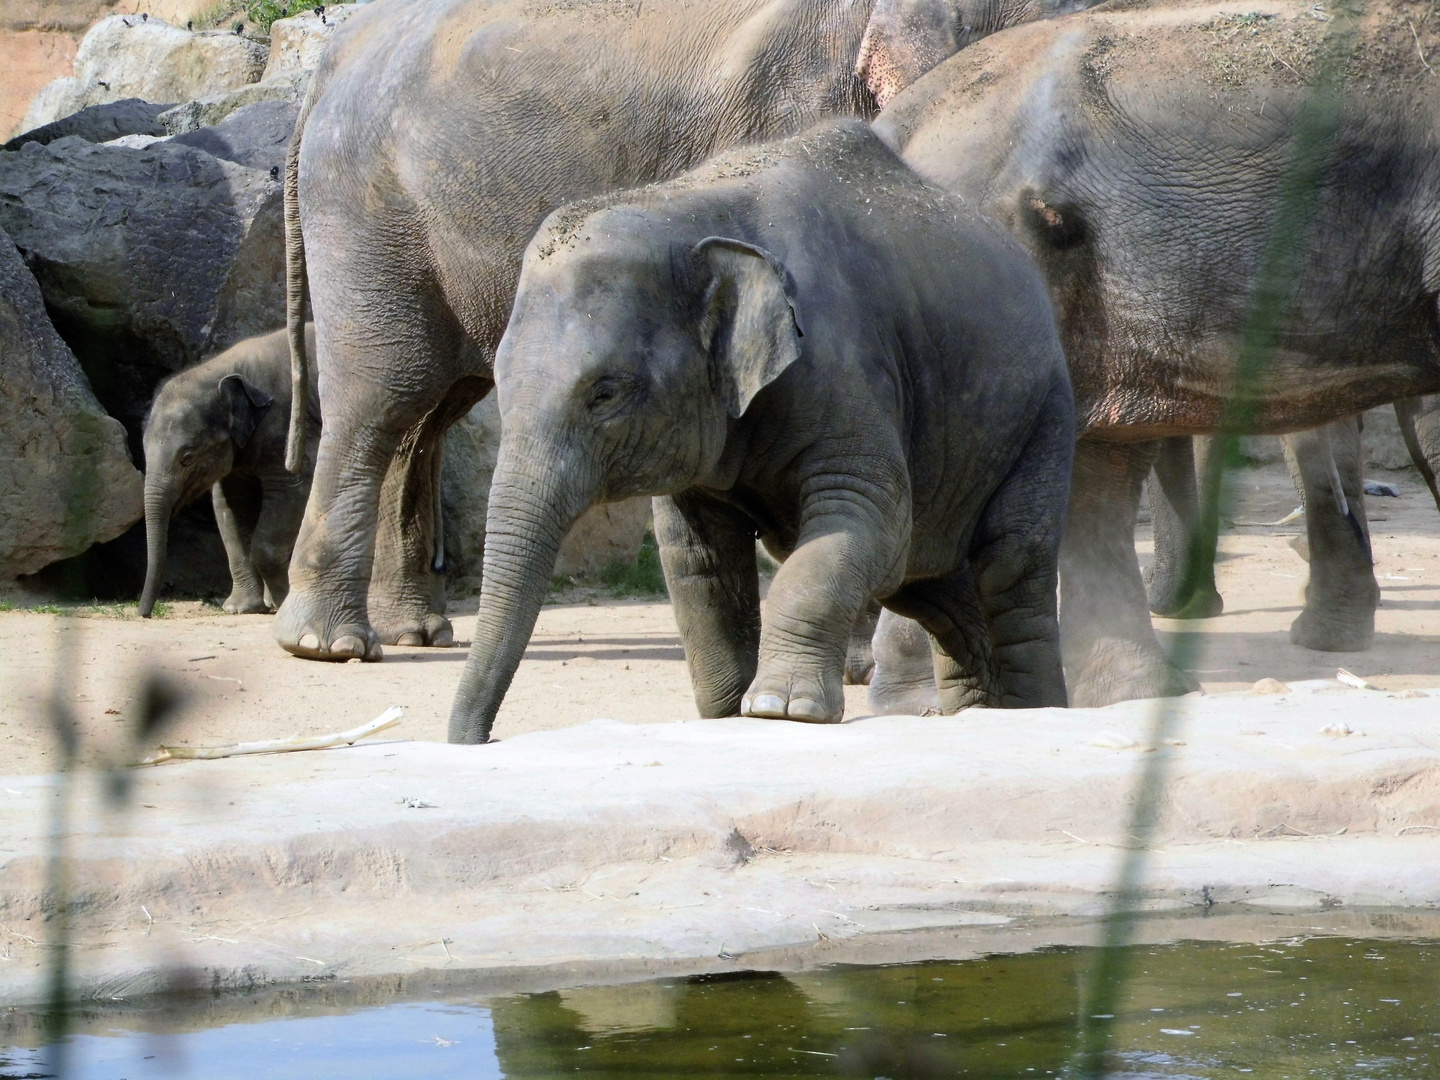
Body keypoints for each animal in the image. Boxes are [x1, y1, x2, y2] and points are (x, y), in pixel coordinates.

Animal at [138, 324, 319, 616]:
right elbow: (229, 507)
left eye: (187, 457)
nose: (143, 613)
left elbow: (294, 490)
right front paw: (240, 608)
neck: (222, 369)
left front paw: (283, 603)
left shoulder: (287, 428)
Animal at [275, 0, 1094, 665]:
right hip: (366, 211)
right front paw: (857, 665)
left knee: (429, 407)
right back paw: (328, 644)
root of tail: (329, 60)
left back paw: (413, 631)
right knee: (382, 394)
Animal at [446, 118, 1071, 743]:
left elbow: (869, 518)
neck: (685, 212)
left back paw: (1033, 711)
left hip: (1045, 414)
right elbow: (697, 557)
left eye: (605, 392)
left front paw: (780, 708)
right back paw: (977, 711)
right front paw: (728, 714)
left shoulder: (849, 369)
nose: (487, 738)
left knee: (1009, 564)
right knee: (932, 585)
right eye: (499, 381)